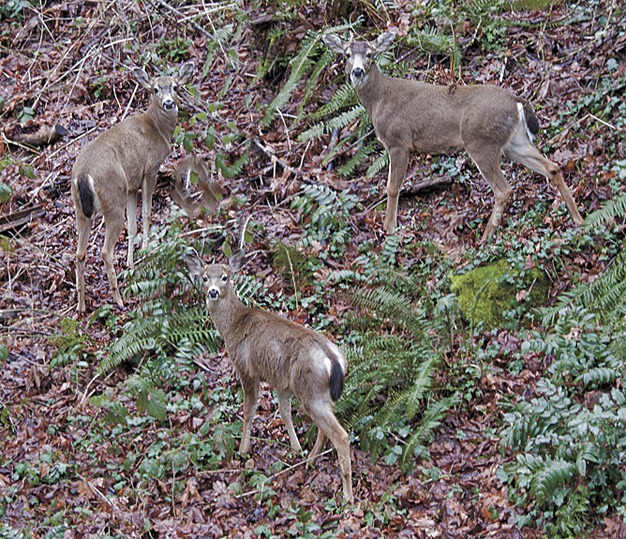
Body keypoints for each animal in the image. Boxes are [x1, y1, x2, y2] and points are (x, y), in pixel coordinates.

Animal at [69, 61, 194, 312]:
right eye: (155, 89)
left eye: (175, 86)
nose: (169, 102)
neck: (158, 129)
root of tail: (83, 175)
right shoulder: (150, 168)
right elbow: (146, 212)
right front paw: (145, 250)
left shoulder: (130, 185)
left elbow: (132, 225)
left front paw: (131, 262)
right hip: (111, 197)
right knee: (105, 251)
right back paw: (118, 299)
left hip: (81, 208)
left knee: (79, 253)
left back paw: (81, 305)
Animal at [184, 251, 352, 504]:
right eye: (204, 277)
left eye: (224, 277)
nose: (212, 291)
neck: (233, 325)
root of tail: (332, 357)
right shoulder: (280, 382)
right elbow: (284, 412)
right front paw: (295, 447)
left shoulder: (246, 368)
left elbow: (249, 409)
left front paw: (243, 450)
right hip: (319, 392)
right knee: (327, 428)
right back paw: (310, 460)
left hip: (310, 390)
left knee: (341, 436)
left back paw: (348, 496)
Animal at [324, 33, 584, 240]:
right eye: (347, 54)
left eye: (371, 54)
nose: (357, 71)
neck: (379, 99)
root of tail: (516, 101)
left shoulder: (398, 141)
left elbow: (392, 187)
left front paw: (389, 229)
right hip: (514, 142)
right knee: (552, 167)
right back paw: (578, 219)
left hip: (480, 142)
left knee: (503, 189)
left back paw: (486, 237)